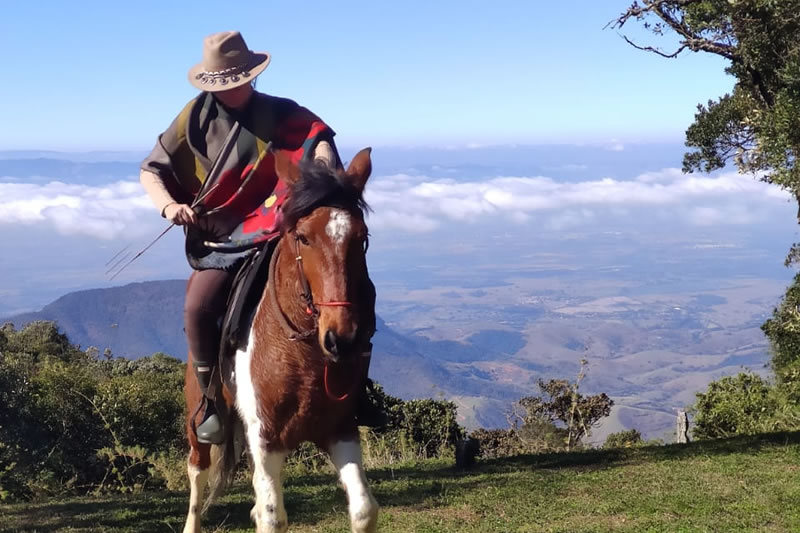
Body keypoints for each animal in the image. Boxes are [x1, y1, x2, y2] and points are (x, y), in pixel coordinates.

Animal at [184, 149, 378, 532]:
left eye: (362, 238)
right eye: (302, 237)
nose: (342, 338)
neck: (303, 352)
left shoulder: (340, 430)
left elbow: (364, 510)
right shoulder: (265, 436)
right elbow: (272, 516)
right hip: (198, 421)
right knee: (197, 470)